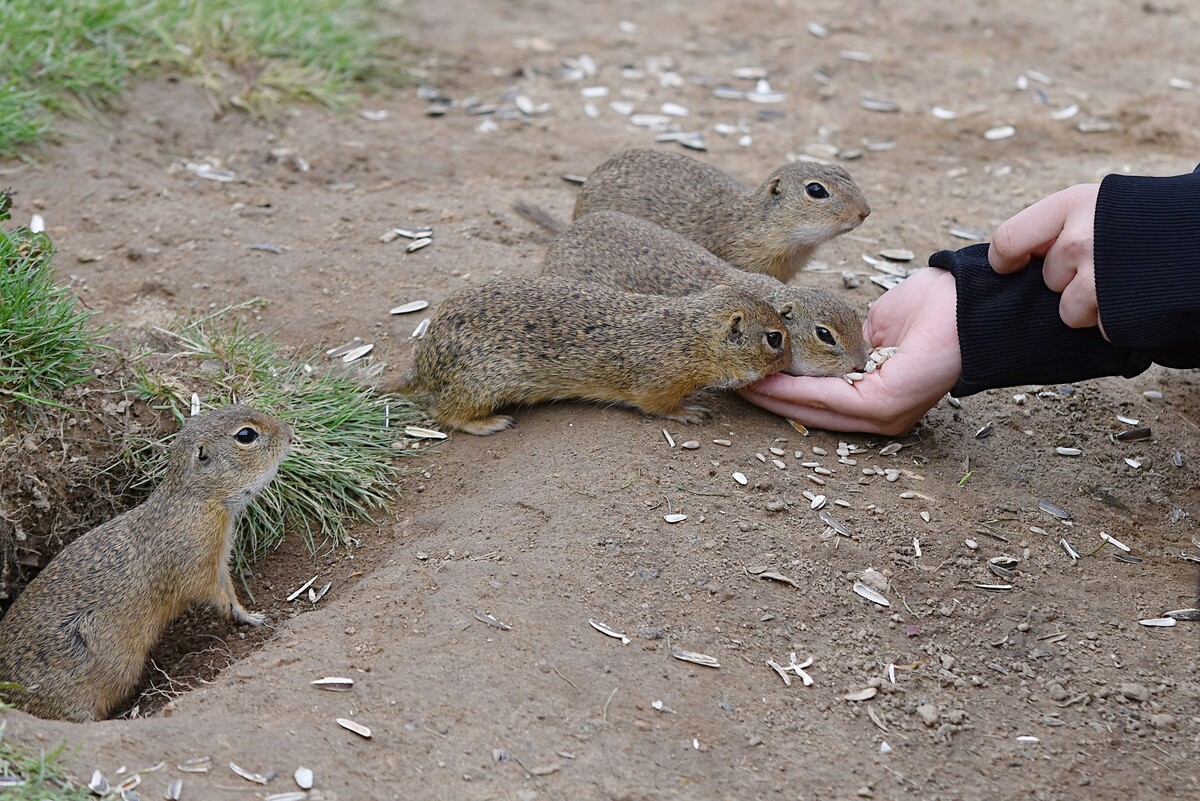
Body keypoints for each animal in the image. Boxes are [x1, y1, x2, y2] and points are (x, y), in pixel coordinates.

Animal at [0, 402, 292, 724]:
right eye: (246, 435)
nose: (290, 433)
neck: (196, 501)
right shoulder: (197, 566)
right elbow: (216, 596)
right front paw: (246, 616)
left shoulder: (219, 563)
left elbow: (229, 590)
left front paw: (253, 614)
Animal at [388, 276, 792, 438]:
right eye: (775, 339)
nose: (789, 364)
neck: (690, 334)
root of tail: (422, 363)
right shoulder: (659, 383)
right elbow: (659, 407)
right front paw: (691, 413)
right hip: (482, 383)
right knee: (446, 414)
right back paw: (491, 423)